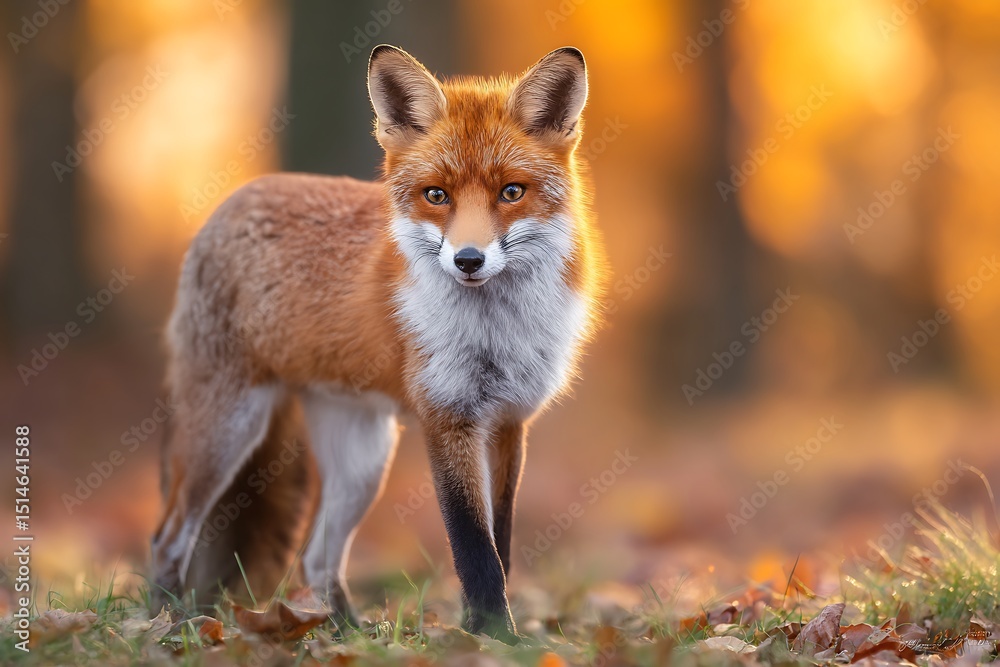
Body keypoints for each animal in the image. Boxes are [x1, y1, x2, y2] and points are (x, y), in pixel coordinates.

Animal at [150, 44, 606, 643]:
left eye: (511, 192)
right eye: (436, 195)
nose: (468, 260)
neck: (493, 333)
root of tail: (233, 199)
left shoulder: (509, 422)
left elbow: (500, 545)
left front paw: (487, 632)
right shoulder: (447, 416)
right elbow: (473, 548)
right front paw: (493, 637)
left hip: (362, 461)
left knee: (317, 558)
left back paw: (342, 633)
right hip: (226, 433)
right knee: (168, 538)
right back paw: (165, 624)